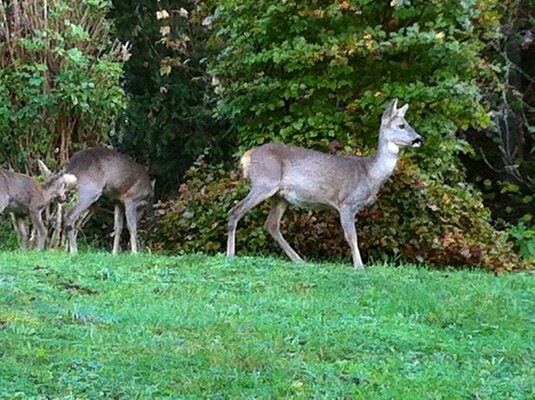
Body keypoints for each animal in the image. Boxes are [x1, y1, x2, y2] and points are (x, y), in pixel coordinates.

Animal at [225, 98, 422, 270]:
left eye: (408, 123)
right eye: (401, 125)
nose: (419, 139)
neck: (369, 174)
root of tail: (246, 156)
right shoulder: (346, 202)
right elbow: (352, 237)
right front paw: (359, 267)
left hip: (281, 196)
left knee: (271, 224)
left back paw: (300, 260)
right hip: (264, 183)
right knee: (235, 211)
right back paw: (230, 254)